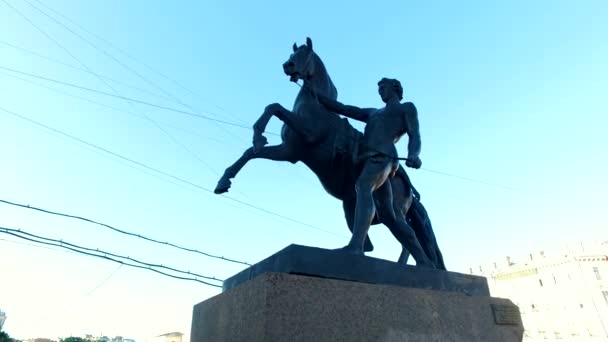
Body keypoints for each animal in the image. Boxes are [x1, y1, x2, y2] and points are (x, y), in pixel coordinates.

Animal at [215, 38, 446, 270]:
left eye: (305, 53)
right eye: (292, 54)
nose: (287, 66)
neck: (314, 106)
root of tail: (405, 182)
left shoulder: (307, 135)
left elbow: (275, 107)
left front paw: (258, 134)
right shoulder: (289, 152)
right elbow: (251, 151)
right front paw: (224, 181)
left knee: (400, 233)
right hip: (367, 204)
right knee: (393, 231)